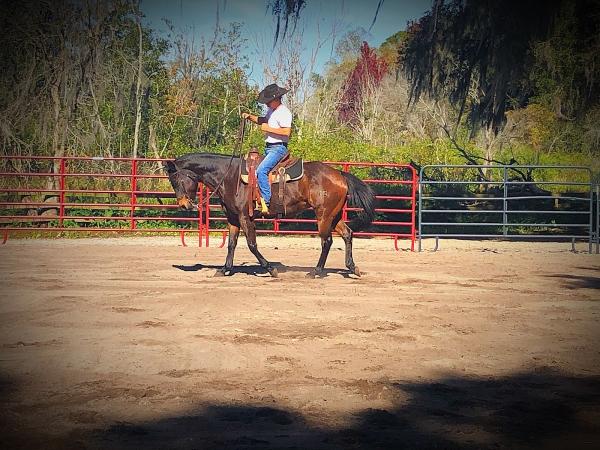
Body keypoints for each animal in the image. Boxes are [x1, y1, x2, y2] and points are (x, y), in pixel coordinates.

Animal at [164, 152, 376, 278]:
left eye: (175, 180)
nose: (184, 205)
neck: (230, 176)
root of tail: (339, 174)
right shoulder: (233, 218)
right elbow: (231, 244)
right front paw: (225, 269)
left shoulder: (245, 217)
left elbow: (251, 244)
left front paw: (270, 268)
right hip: (334, 215)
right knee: (347, 234)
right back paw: (352, 267)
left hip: (323, 215)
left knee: (327, 241)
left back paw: (316, 271)